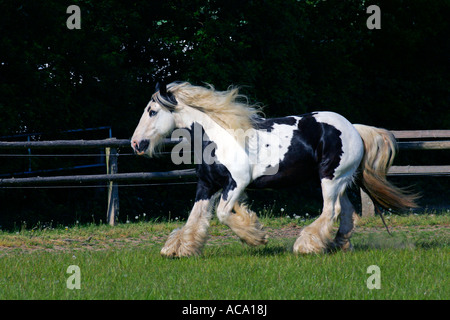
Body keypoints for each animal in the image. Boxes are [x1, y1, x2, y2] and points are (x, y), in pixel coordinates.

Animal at [131, 80, 418, 258]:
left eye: (152, 111)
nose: (136, 144)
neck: (219, 136)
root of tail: (354, 129)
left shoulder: (237, 183)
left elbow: (223, 214)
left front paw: (255, 236)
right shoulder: (208, 185)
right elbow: (195, 218)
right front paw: (179, 249)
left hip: (331, 178)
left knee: (331, 210)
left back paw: (306, 246)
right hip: (340, 180)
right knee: (345, 212)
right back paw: (336, 244)